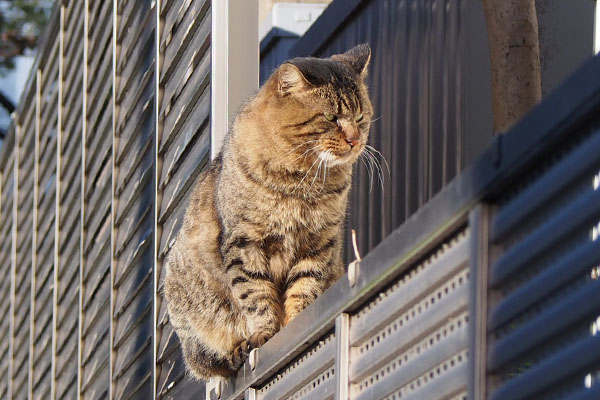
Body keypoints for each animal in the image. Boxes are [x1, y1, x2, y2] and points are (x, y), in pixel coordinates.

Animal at [162, 43, 372, 382]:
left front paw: (297, 321)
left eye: (361, 116)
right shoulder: (244, 242)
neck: (302, 182)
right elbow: (255, 294)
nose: (355, 140)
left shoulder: (319, 241)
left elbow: (306, 284)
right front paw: (264, 332)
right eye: (331, 117)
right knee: (209, 360)